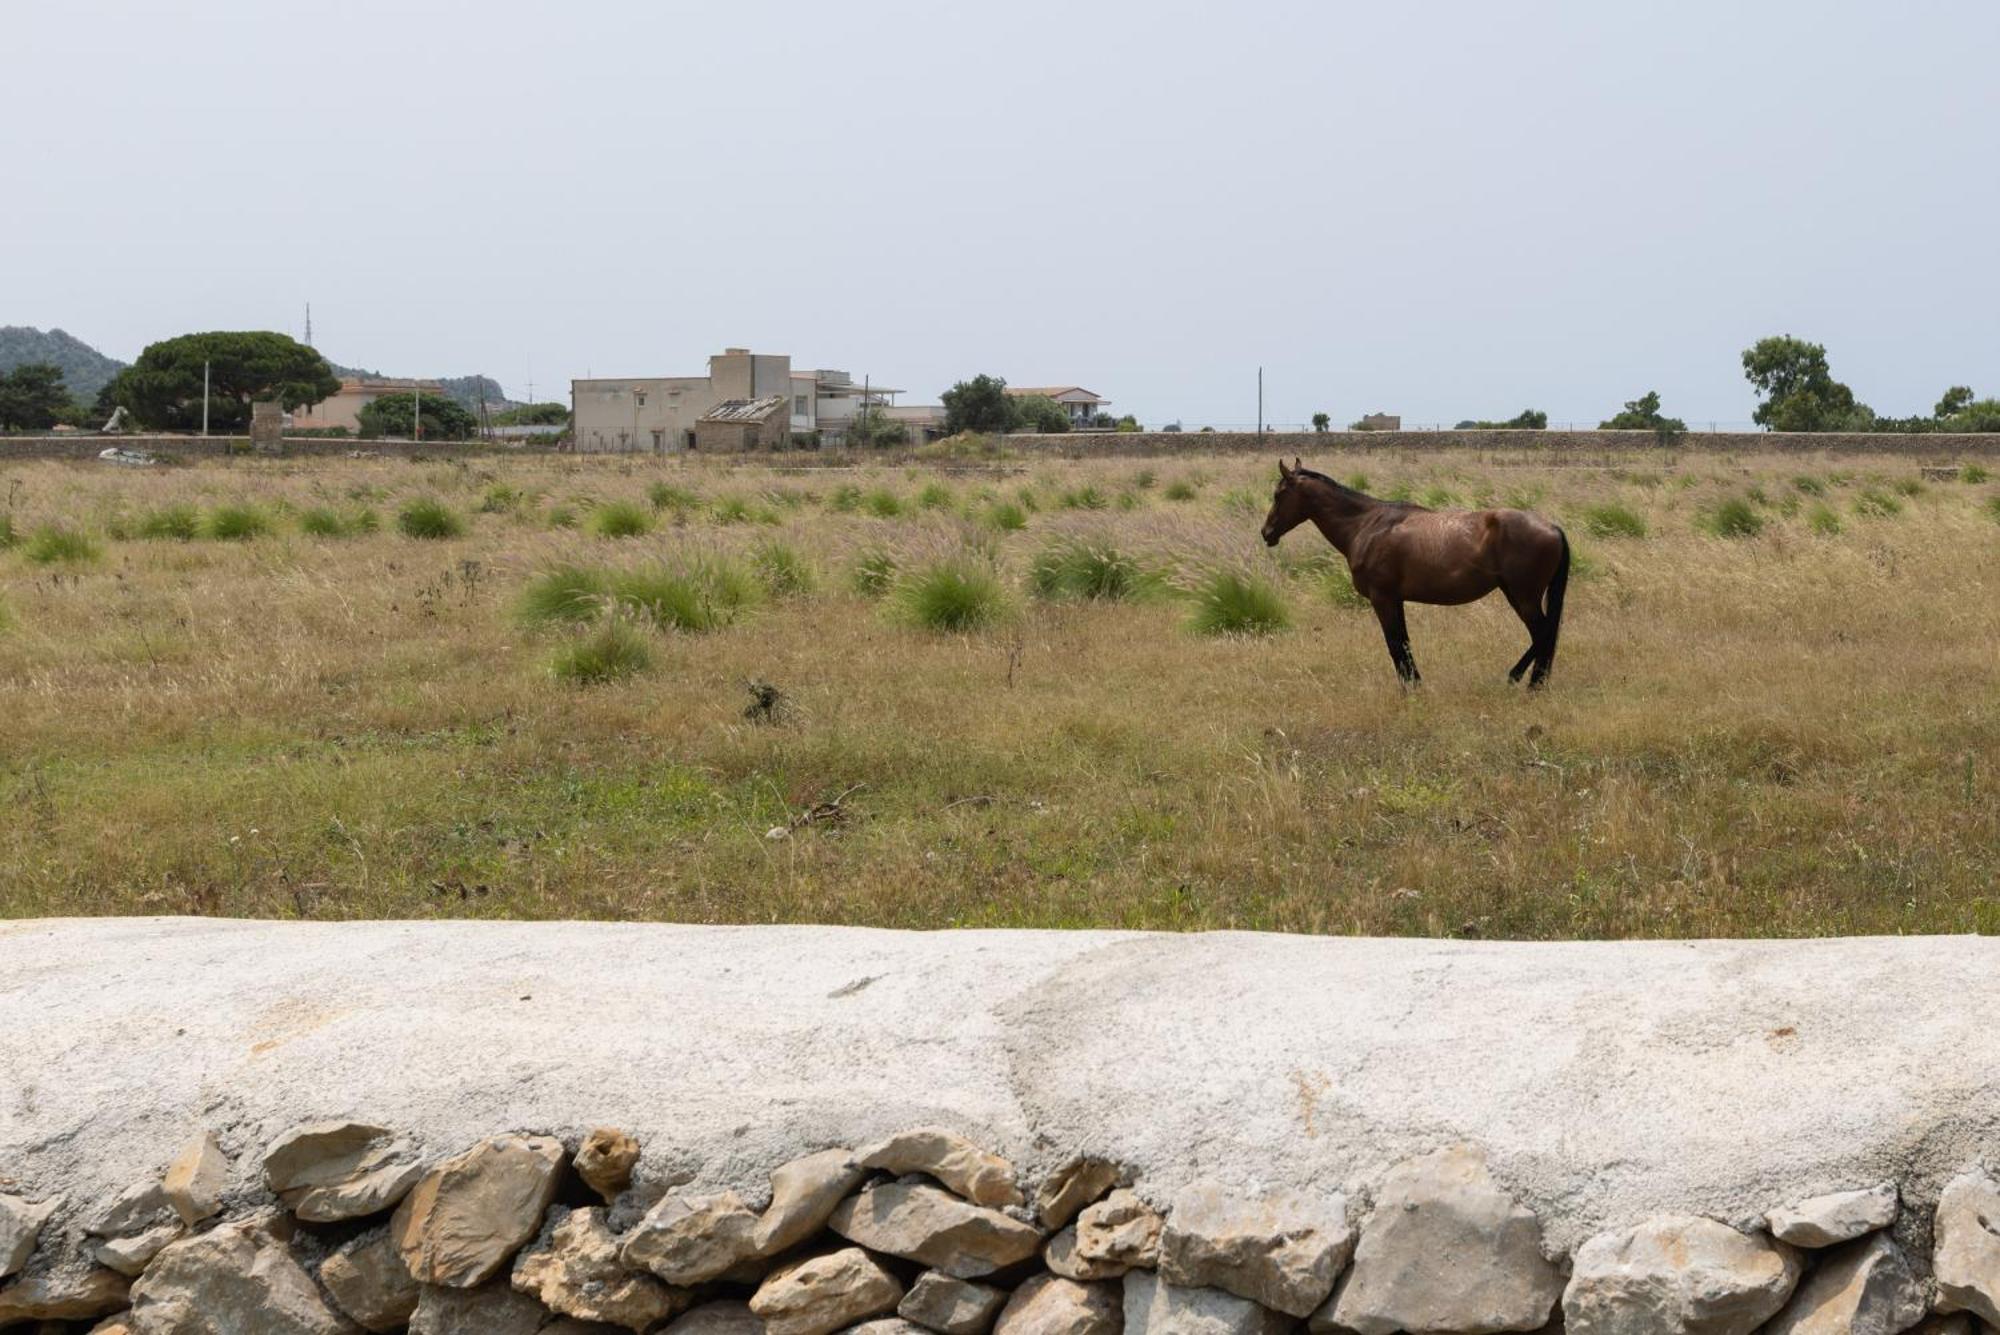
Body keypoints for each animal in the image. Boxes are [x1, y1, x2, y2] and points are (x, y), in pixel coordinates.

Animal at [1256, 459, 1568, 687]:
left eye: (1278, 494)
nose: (1266, 532)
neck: (1366, 525)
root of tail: (1552, 527)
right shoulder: (1396, 599)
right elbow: (1404, 643)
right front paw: (1415, 684)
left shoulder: (1382, 598)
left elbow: (1395, 645)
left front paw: (1409, 689)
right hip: (1514, 593)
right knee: (1543, 635)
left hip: (1523, 596)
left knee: (1543, 634)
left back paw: (1522, 680)